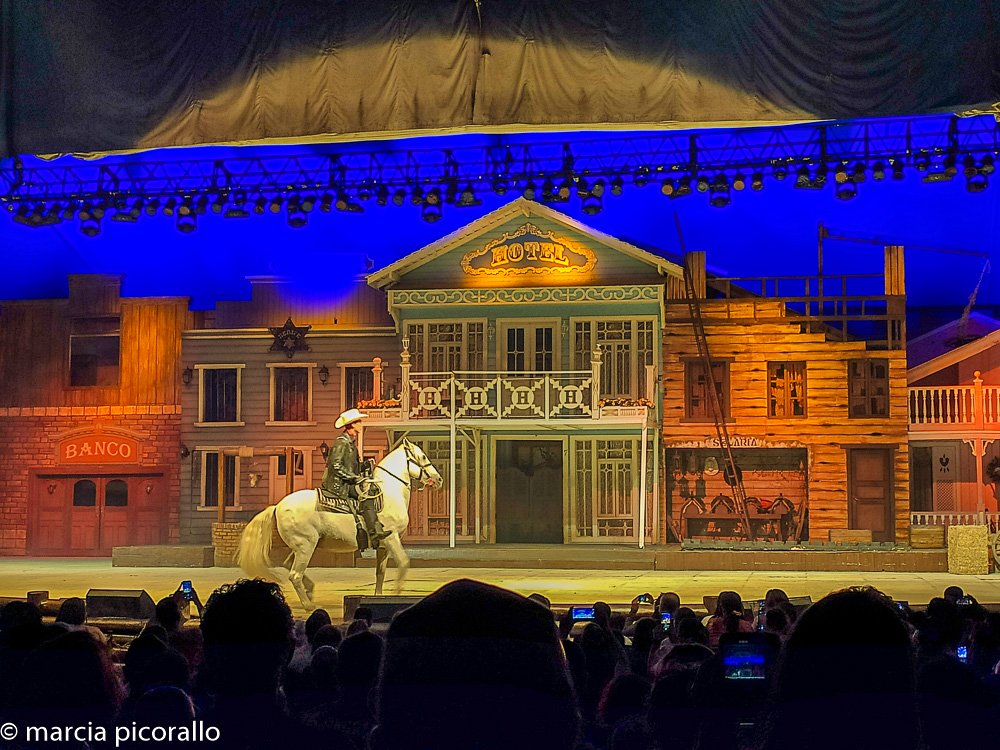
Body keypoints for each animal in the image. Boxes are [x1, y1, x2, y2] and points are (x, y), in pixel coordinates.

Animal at [238, 440, 442, 612]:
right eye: (423, 457)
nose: (439, 479)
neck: (389, 493)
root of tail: (278, 506)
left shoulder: (383, 547)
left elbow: (380, 573)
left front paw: (379, 597)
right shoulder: (392, 538)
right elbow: (404, 563)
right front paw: (397, 595)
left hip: (300, 546)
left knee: (288, 565)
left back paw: (310, 591)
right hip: (305, 546)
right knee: (295, 574)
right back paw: (308, 605)